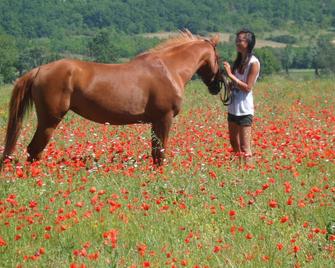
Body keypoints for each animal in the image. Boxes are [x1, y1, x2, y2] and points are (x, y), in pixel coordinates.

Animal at [0, 30, 223, 166]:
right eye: (218, 57)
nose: (217, 86)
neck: (169, 69)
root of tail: (38, 70)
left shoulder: (155, 122)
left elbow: (154, 152)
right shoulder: (163, 119)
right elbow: (160, 153)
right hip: (49, 121)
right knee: (33, 150)